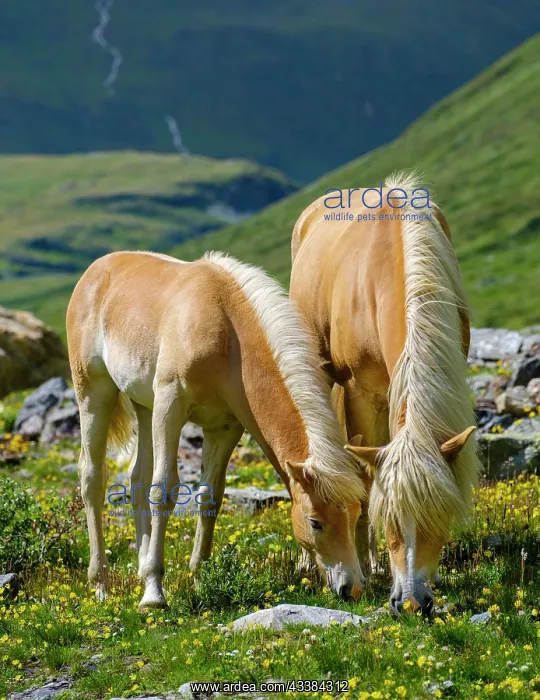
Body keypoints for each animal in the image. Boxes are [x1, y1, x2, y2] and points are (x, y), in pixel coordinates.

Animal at [67, 250, 366, 609]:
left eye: (357, 514)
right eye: (315, 522)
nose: (352, 588)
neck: (226, 330)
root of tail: (97, 270)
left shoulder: (224, 428)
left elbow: (210, 497)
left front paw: (199, 578)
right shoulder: (170, 406)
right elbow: (163, 490)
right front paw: (154, 592)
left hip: (144, 407)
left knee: (137, 476)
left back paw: (138, 567)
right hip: (94, 394)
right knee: (92, 478)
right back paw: (101, 584)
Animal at [289, 174, 480, 614]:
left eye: (439, 518)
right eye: (389, 520)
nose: (410, 603)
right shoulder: (361, 392)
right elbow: (362, 480)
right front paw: (366, 565)